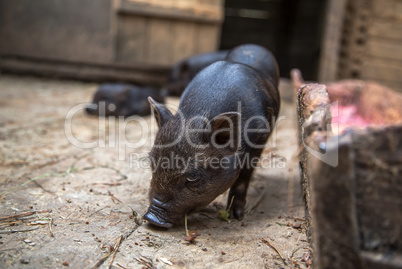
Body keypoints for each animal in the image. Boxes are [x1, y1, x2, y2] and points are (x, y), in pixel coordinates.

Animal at [144, 43, 280, 226]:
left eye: (193, 177)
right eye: (152, 163)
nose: (151, 218)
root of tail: (253, 45)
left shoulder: (260, 138)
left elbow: (242, 180)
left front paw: (235, 217)